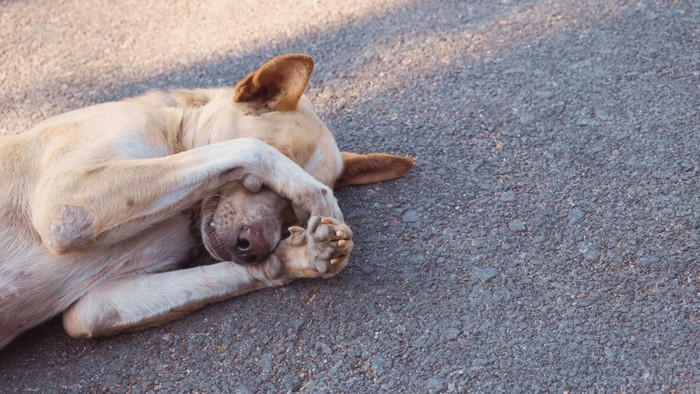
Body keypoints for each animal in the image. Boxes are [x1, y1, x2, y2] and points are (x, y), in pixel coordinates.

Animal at [0, 53, 412, 350]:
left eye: (290, 211)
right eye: (260, 183)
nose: (254, 246)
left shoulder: (96, 307)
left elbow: (237, 273)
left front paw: (303, 254)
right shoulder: (67, 203)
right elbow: (250, 145)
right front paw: (316, 194)